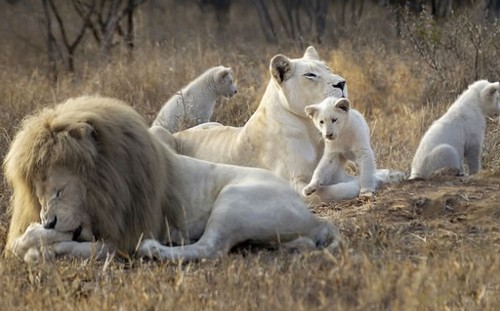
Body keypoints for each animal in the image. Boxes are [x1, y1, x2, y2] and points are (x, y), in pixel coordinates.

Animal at [2, 95, 340, 264]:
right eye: (38, 194)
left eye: (59, 190)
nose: (48, 221)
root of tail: (315, 218)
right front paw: (36, 242)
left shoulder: (125, 234)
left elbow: (87, 247)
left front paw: (39, 245)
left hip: (234, 202)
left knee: (209, 249)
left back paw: (153, 250)